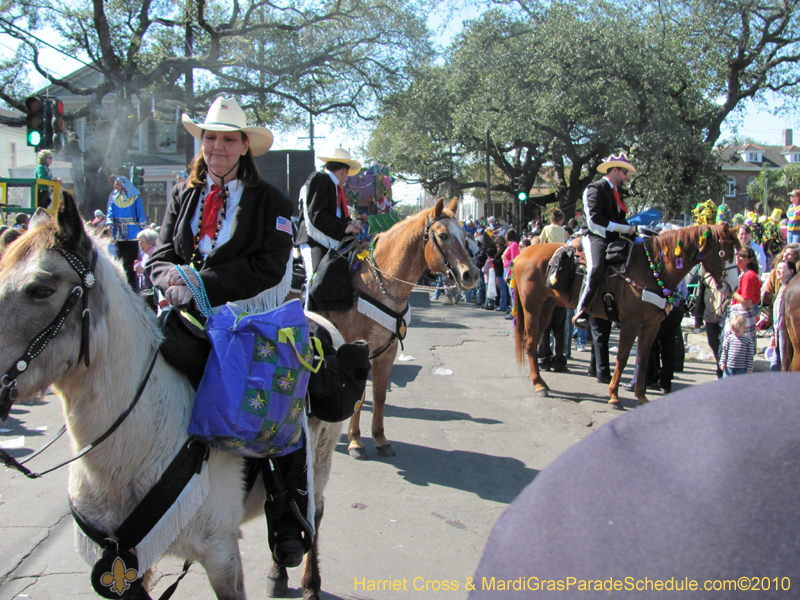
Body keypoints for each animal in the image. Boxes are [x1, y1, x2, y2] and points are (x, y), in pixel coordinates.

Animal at [0, 192, 340, 600]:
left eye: (39, 289)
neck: (129, 453)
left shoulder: (220, 554)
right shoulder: (124, 569)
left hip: (319, 465)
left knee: (313, 515)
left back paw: (308, 580)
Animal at [318, 198, 482, 460]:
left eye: (465, 236)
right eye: (443, 235)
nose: (472, 275)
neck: (376, 284)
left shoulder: (388, 349)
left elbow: (379, 394)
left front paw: (380, 438)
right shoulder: (356, 350)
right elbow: (359, 394)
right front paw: (355, 442)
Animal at [516, 224, 740, 408]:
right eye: (723, 252)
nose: (734, 287)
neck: (650, 268)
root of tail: (524, 253)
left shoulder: (651, 326)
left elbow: (643, 357)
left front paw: (641, 396)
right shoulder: (630, 323)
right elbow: (623, 357)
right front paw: (614, 396)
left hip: (547, 308)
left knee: (534, 341)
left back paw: (541, 381)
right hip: (532, 308)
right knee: (530, 341)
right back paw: (539, 385)